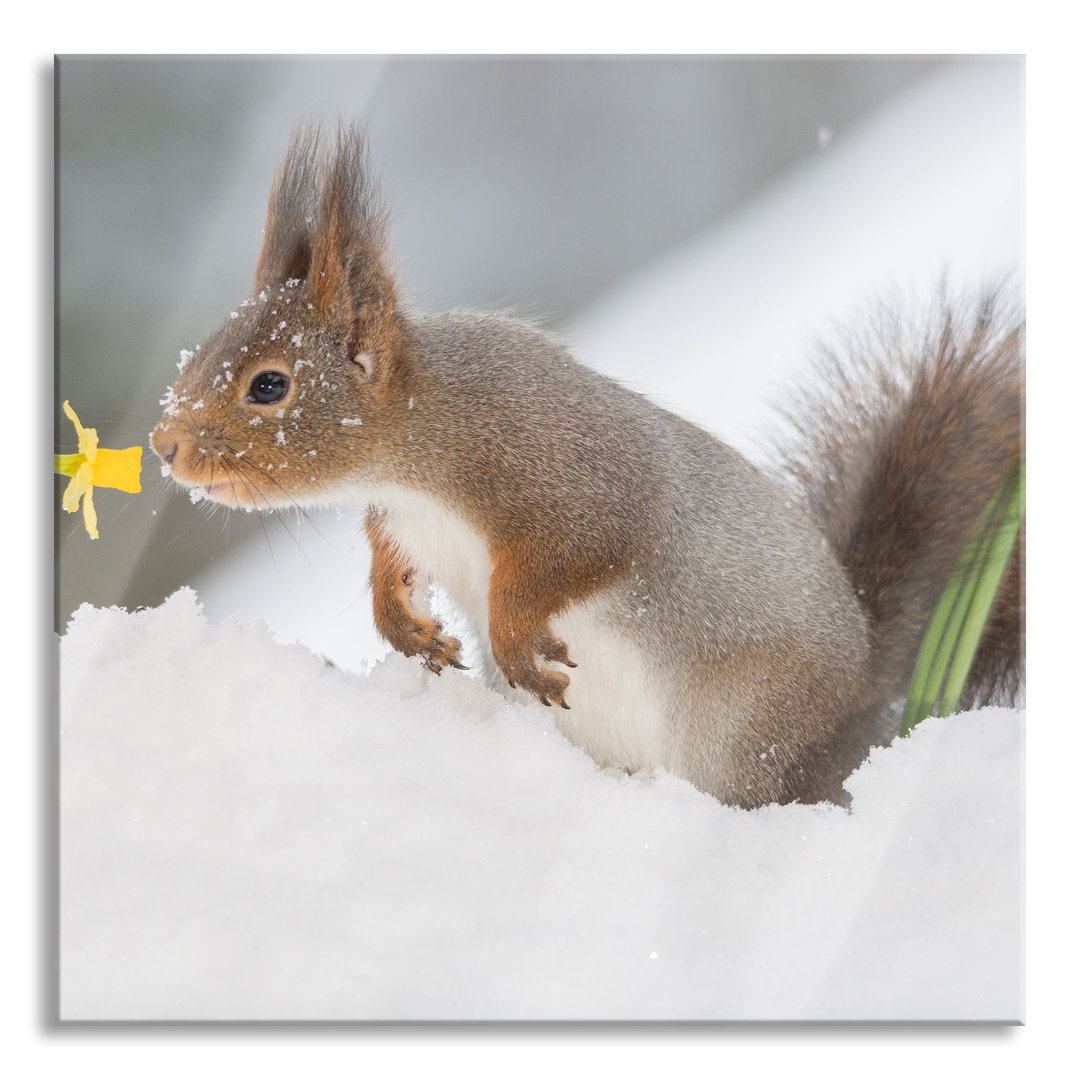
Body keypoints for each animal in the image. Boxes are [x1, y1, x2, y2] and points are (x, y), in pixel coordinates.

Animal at [150, 122, 1019, 807]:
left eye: (270, 385)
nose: (164, 446)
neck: (419, 448)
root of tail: (868, 700)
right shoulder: (405, 523)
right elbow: (390, 567)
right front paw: (407, 629)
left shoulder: (571, 477)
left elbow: (574, 554)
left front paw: (512, 637)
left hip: (746, 731)